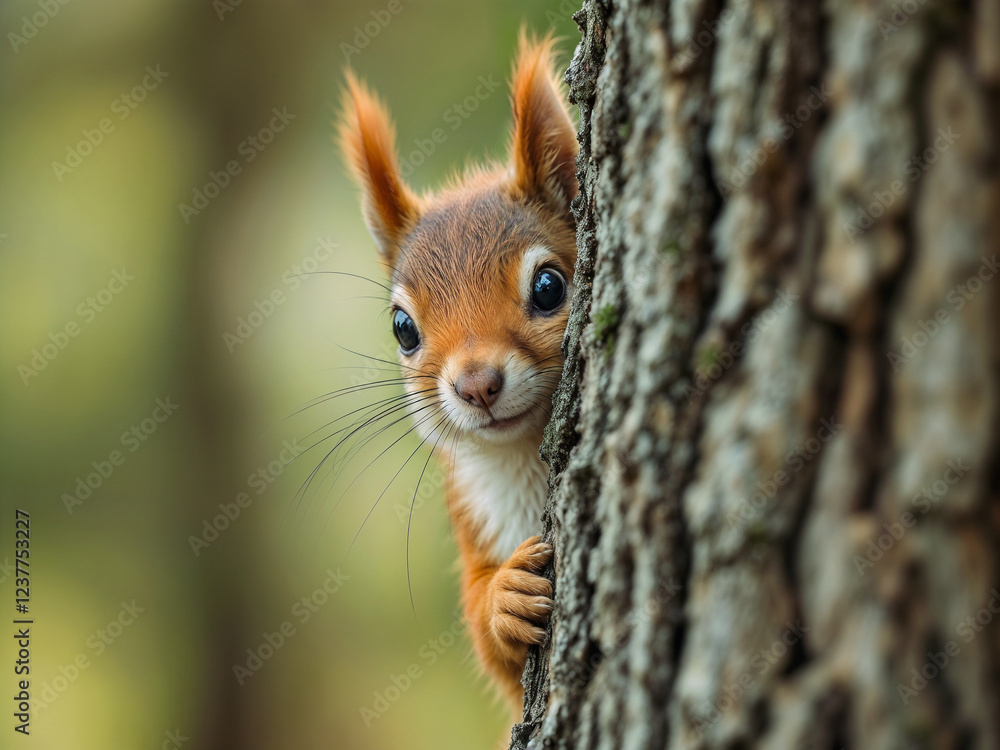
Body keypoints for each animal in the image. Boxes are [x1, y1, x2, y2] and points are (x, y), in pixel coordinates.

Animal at [339, 34, 578, 712]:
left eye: (549, 287)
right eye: (403, 328)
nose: (476, 385)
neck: (520, 455)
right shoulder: (471, 515)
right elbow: (484, 636)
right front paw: (503, 598)